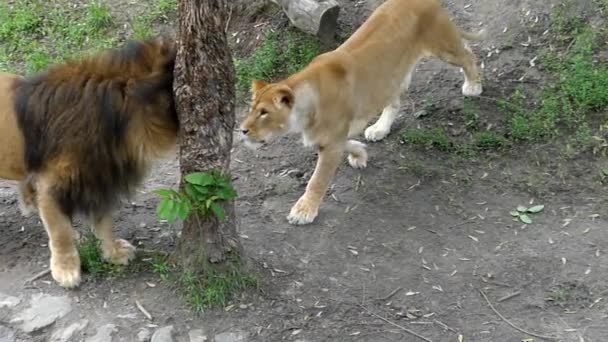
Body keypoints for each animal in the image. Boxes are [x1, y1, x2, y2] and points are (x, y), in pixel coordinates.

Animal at [0, 37, 179, 288]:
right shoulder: (50, 184)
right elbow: (60, 232)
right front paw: (66, 269)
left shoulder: (98, 177)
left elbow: (104, 222)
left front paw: (113, 252)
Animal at [240, 0, 482, 224]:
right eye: (252, 110)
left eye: (264, 112)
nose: (242, 130)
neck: (303, 113)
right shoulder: (330, 137)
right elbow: (348, 143)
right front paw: (359, 154)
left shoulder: (331, 141)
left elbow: (317, 180)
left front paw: (303, 211)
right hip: (389, 77)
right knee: (395, 101)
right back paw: (379, 129)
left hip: (443, 45)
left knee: (468, 54)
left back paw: (473, 86)